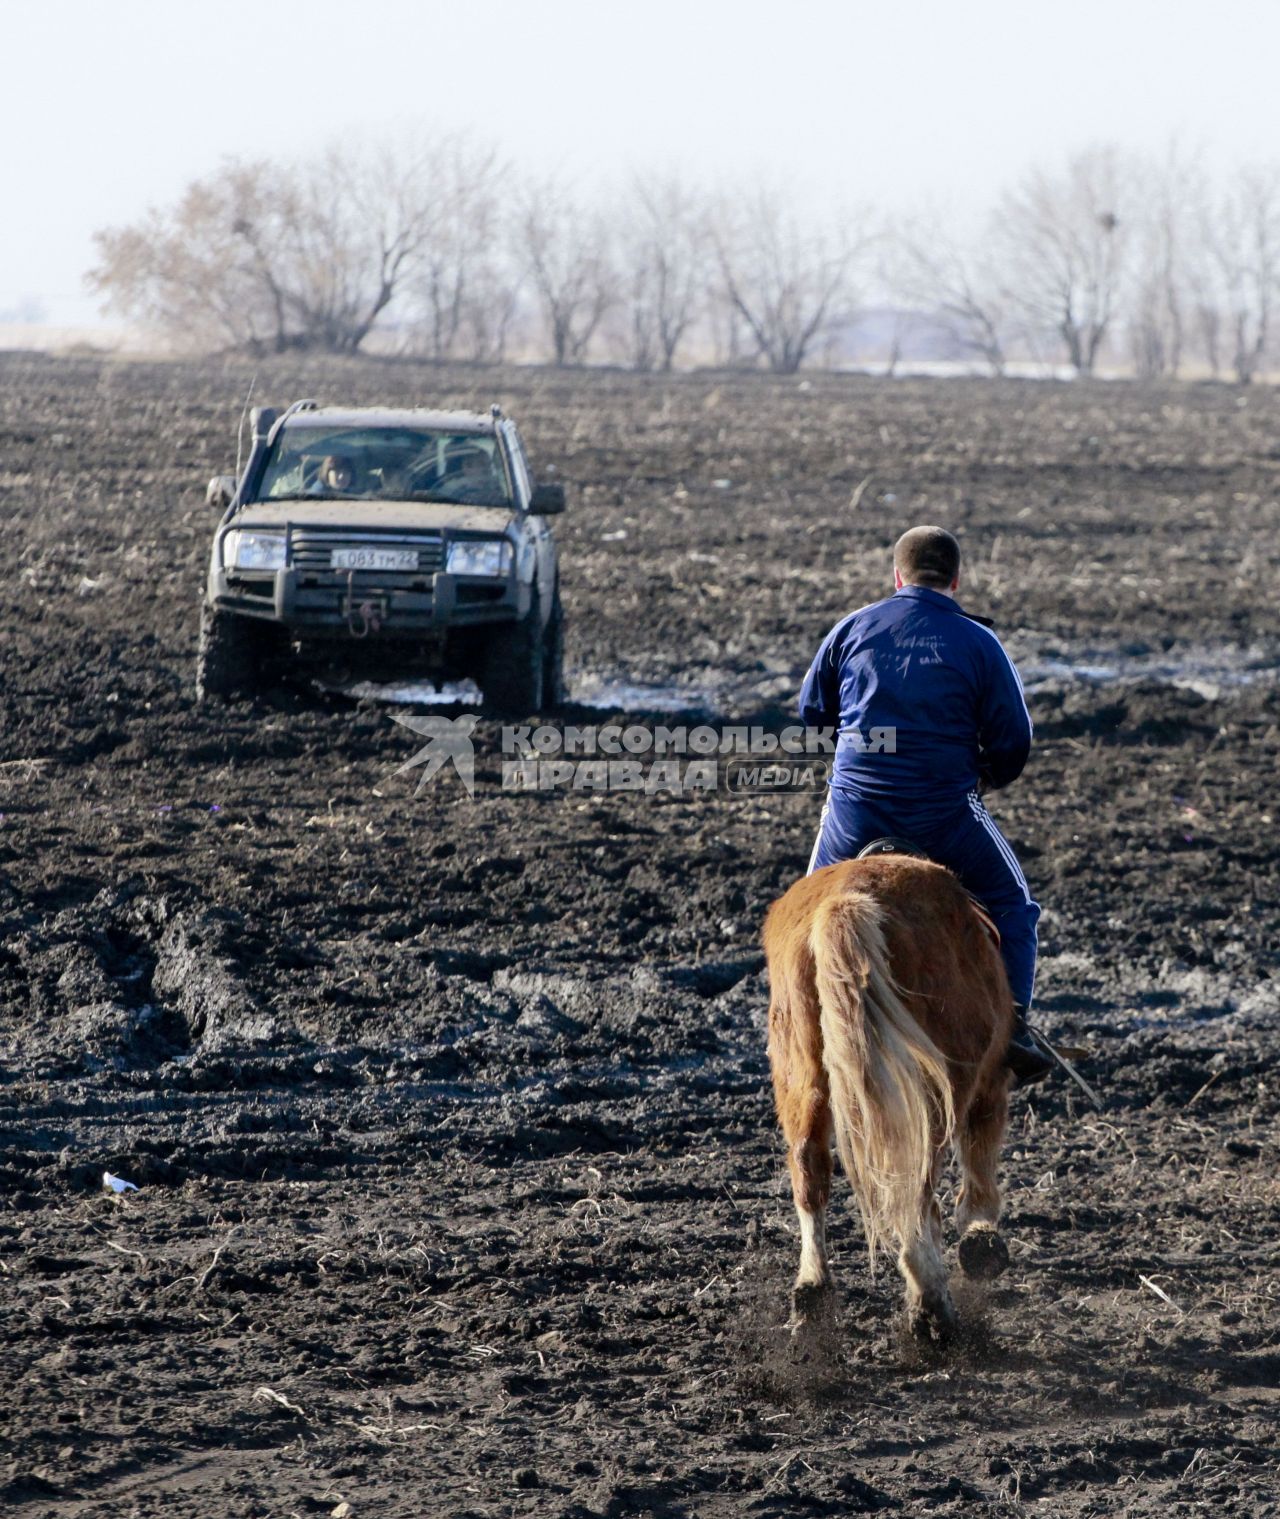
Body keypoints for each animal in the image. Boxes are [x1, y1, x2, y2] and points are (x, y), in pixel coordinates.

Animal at [765, 856, 1014, 1342]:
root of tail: (843, 904)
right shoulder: (989, 1079)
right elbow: (980, 1155)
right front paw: (981, 1238)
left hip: (802, 1079)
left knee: (809, 1168)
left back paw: (813, 1293)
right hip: (933, 1093)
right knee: (915, 1190)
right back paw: (931, 1305)